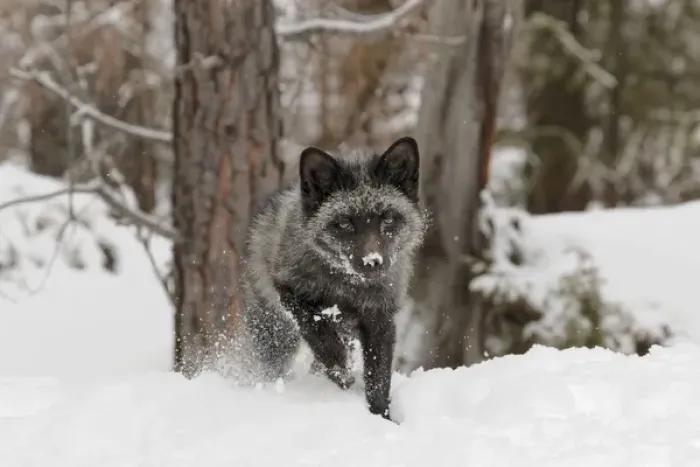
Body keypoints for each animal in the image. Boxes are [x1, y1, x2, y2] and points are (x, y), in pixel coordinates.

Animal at [239, 136, 427, 420]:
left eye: (388, 218)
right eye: (345, 223)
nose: (372, 261)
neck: (349, 288)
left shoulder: (380, 319)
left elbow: (379, 380)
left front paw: (381, 417)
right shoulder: (290, 291)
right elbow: (319, 333)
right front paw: (340, 369)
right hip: (275, 334)